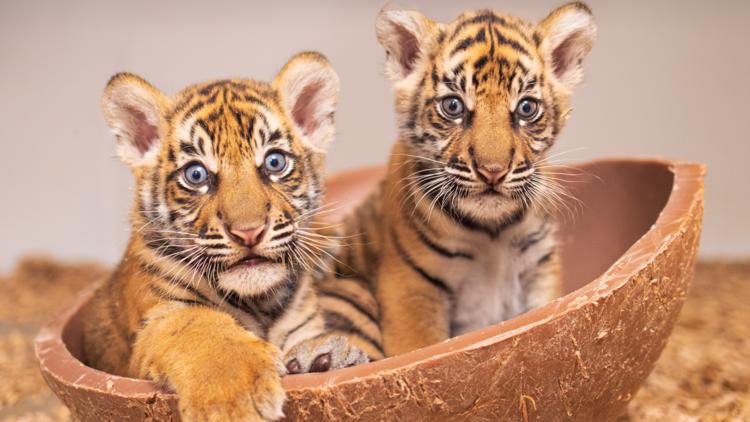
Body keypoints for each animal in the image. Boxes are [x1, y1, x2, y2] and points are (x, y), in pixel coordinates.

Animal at [79, 52, 369, 422]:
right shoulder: (159, 317)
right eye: (196, 175)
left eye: (274, 162)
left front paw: (326, 357)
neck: (260, 303)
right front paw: (235, 399)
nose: (248, 232)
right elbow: (198, 326)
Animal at [319, 3, 597, 357]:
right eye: (453, 106)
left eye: (526, 108)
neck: (493, 231)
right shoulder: (411, 287)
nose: (493, 170)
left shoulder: (540, 267)